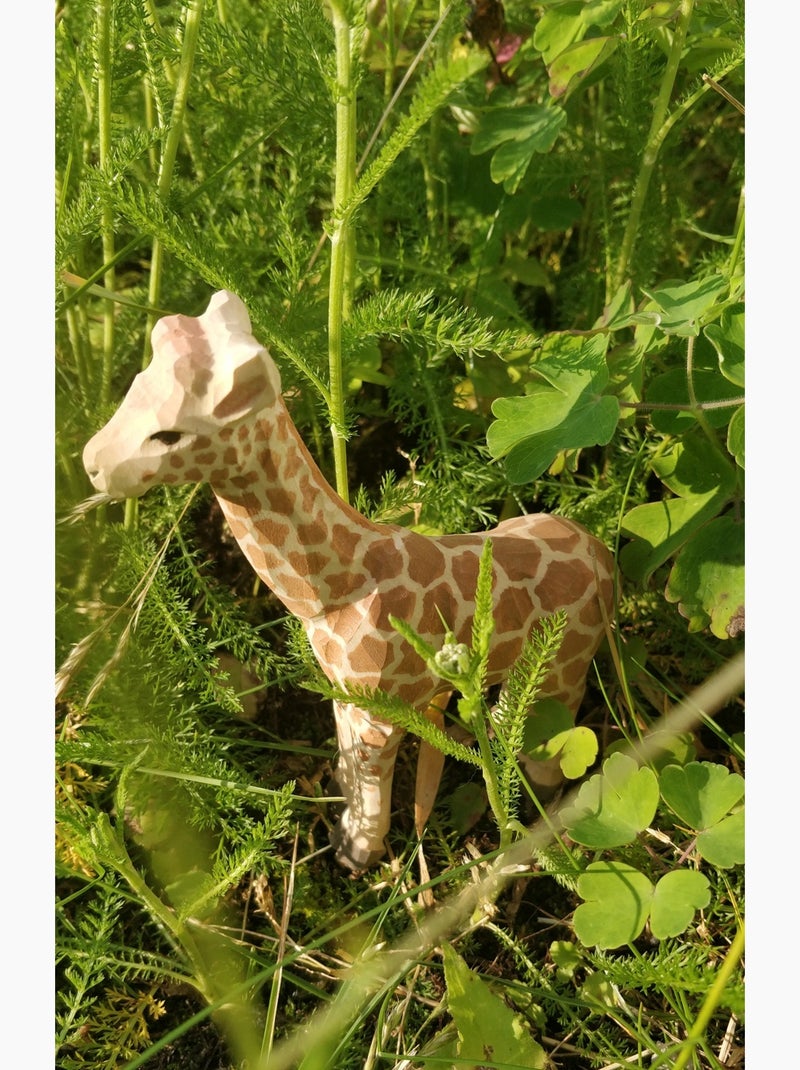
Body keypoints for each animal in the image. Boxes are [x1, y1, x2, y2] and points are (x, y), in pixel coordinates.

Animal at [83, 290, 615, 871]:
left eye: (169, 434)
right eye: (134, 387)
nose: (91, 464)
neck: (334, 593)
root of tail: (605, 554)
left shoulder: (380, 712)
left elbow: (371, 782)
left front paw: (358, 854)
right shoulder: (345, 694)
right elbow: (346, 765)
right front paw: (340, 822)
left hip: (567, 665)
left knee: (556, 735)